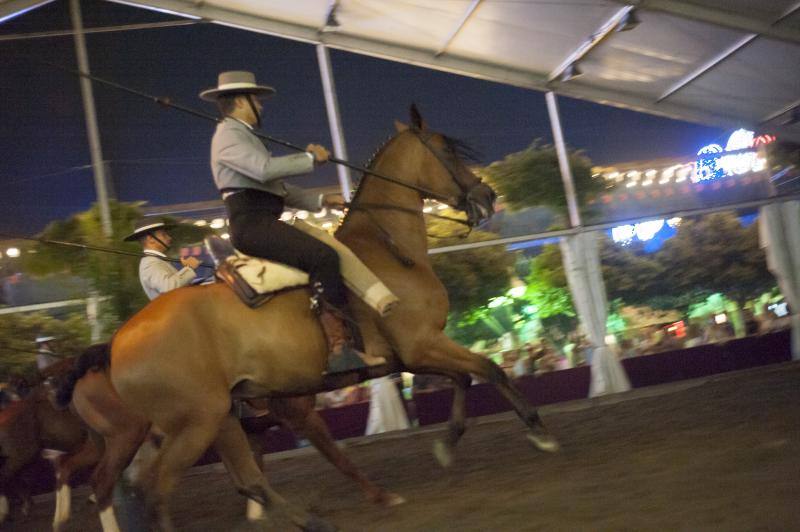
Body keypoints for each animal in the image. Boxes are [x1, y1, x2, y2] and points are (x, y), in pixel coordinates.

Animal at [106, 106, 556, 528]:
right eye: (446, 150)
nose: (487, 196)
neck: (387, 248)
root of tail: (117, 347)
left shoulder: (414, 354)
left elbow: (465, 378)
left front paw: (447, 444)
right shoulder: (421, 345)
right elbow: (489, 368)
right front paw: (539, 432)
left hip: (219, 418)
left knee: (245, 479)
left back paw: (315, 518)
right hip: (197, 424)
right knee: (157, 490)